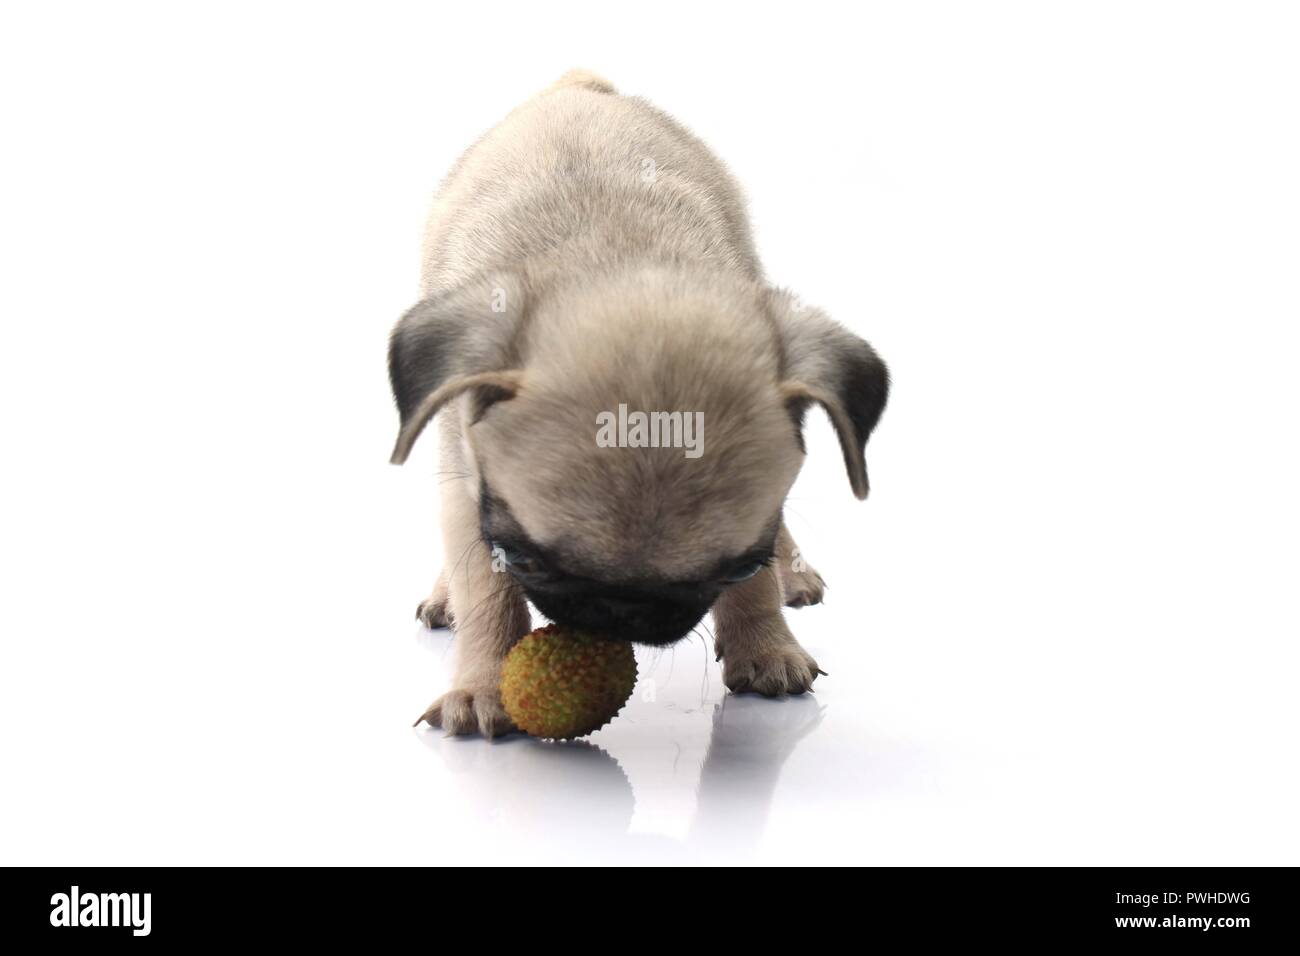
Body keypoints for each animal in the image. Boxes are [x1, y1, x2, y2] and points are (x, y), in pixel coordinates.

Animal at [390, 70, 889, 738]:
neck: (613, 269)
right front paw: (481, 686)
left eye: (736, 567)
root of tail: (579, 87)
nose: (619, 612)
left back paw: (796, 574)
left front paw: (766, 647)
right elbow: (486, 590)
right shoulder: (469, 478)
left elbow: (757, 582)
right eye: (523, 558)